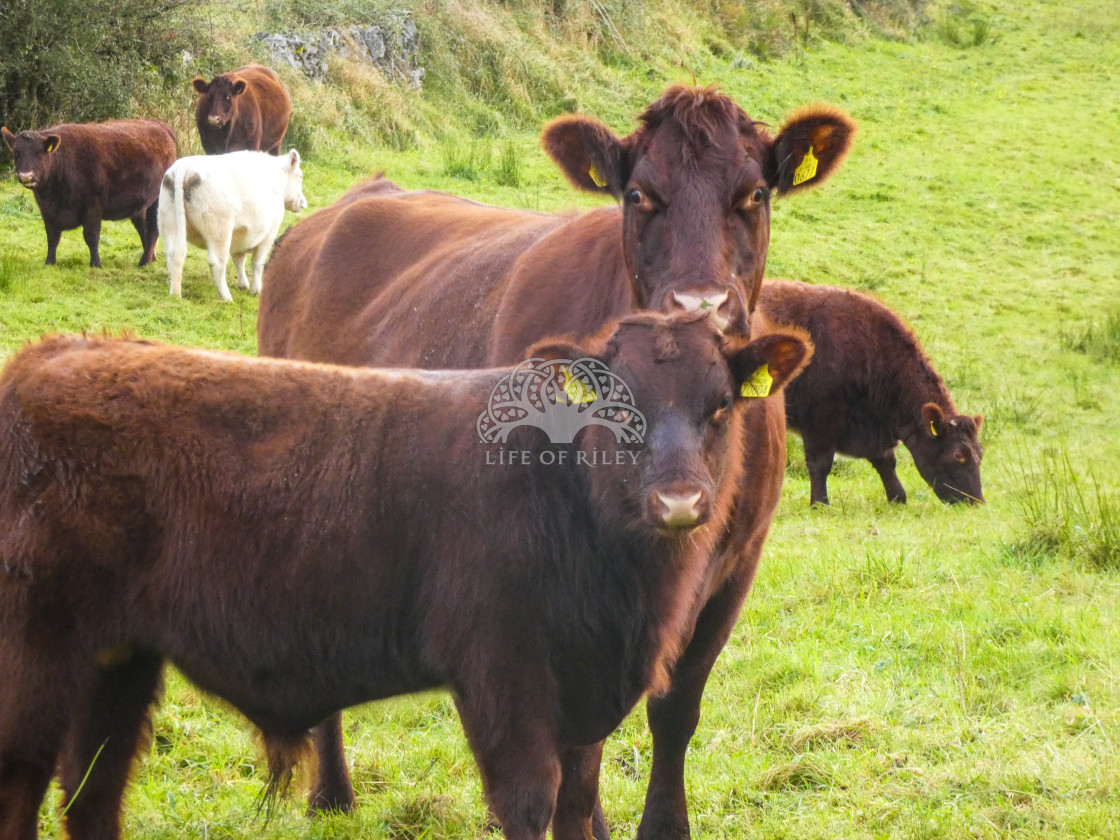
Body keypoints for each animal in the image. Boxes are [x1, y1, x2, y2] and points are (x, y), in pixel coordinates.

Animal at [0, 119, 176, 266]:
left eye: (39, 152)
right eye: (16, 153)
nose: (26, 176)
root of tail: (161, 125)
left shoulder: (93, 205)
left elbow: (91, 236)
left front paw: (96, 264)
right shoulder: (47, 210)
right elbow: (52, 237)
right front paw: (49, 262)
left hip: (157, 200)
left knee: (152, 230)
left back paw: (144, 262)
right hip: (139, 205)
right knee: (143, 228)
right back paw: (150, 258)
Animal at [0, 313, 810, 840]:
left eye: (720, 405)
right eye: (617, 408)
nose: (681, 502)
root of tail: (49, 355)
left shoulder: (584, 696)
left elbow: (579, 804)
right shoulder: (502, 672)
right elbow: (529, 802)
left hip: (115, 662)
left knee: (91, 792)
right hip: (34, 657)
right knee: (22, 784)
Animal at [157, 148, 306, 302]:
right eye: (300, 176)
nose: (303, 203)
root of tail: (185, 167)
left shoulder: (239, 237)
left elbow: (239, 260)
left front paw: (243, 284)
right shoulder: (269, 234)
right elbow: (257, 263)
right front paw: (257, 290)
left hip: (168, 222)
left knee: (174, 255)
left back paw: (175, 294)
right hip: (219, 232)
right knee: (217, 263)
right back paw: (227, 297)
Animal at [259, 85, 855, 840]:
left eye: (754, 193)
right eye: (639, 194)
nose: (699, 308)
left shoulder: (735, 567)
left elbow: (673, 710)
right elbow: (576, 753)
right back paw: (331, 793)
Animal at [757, 281, 985, 506]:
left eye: (980, 453)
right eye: (958, 455)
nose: (976, 501)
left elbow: (886, 462)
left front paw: (897, 497)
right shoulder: (819, 424)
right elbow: (820, 465)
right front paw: (820, 503)